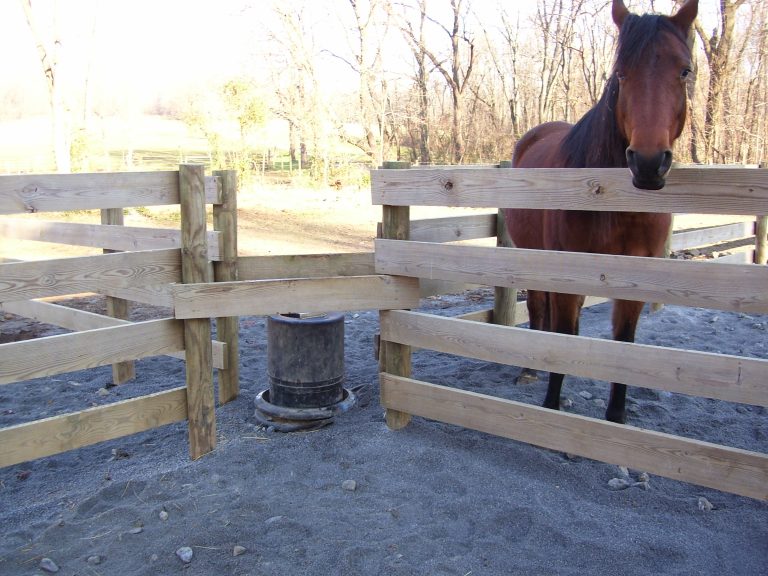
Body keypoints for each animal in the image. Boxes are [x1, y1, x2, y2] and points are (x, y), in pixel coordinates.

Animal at [505, 0, 698, 424]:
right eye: (621, 73)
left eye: (685, 70)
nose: (648, 163)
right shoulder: (569, 273)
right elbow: (565, 336)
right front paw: (551, 406)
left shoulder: (635, 282)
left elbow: (623, 343)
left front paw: (616, 419)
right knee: (539, 305)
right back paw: (529, 368)